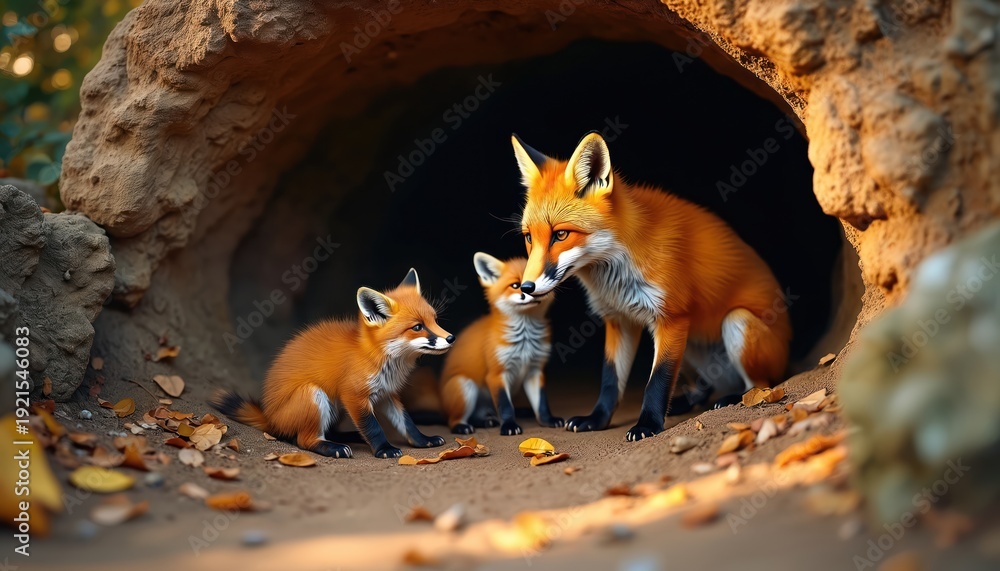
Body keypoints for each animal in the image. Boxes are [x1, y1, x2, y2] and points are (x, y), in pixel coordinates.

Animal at [212, 269, 453, 458]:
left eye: (434, 320)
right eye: (417, 327)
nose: (451, 338)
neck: (376, 357)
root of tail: (270, 418)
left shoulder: (386, 394)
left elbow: (407, 423)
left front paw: (423, 440)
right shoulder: (354, 396)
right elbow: (373, 427)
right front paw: (384, 449)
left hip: (335, 407)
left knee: (327, 432)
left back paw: (348, 437)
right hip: (314, 395)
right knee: (303, 440)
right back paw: (332, 447)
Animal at [440, 252, 563, 436]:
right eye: (516, 285)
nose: (530, 291)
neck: (525, 342)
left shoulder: (535, 370)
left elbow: (541, 404)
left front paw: (548, 421)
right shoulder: (497, 373)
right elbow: (505, 406)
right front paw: (509, 426)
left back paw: (488, 420)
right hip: (464, 385)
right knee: (452, 421)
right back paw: (463, 426)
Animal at [510, 132, 792, 441]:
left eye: (560, 235)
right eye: (528, 237)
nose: (526, 287)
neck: (618, 270)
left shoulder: (672, 318)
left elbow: (658, 380)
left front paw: (647, 425)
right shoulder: (619, 319)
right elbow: (610, 381)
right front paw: (596, 420)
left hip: (736, 323)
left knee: (762, 385)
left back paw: (733, 399)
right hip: (691, 345)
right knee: (703, 388)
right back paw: (686, 401)